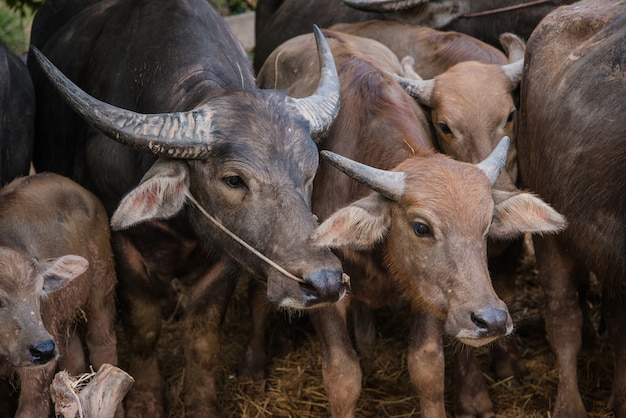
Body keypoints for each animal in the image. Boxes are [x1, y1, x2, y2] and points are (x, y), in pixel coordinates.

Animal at [0, 172, 119, 418]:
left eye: (39, 293)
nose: (44, 349)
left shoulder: (38, 375)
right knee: (74, 357)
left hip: (102, 290)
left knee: (103, 348)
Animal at [26, 0, 344, 414]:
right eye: (234, 180)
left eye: (309, 172)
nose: (325, 281)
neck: (182, 227)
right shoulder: (122, 245)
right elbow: (143, 327)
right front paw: (146, 401)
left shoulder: (228, 255)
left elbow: (203, 335)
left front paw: (201, 404)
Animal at [256, 29, 564, 418]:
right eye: (421, 228)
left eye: (486, 224)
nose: (490, 320)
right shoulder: (321, 288)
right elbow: (342, 376)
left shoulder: (427, 291)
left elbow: (427, 368)